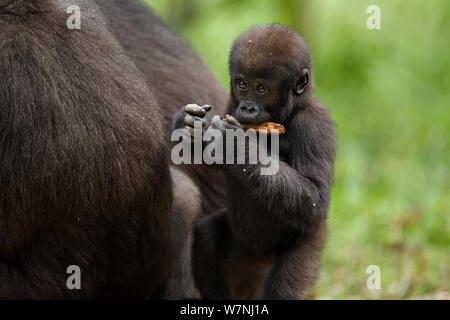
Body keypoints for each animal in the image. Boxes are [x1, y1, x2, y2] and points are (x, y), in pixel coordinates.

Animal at [174, 25, 336, 300]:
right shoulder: (230, 106)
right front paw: (186, 123)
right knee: (205, 237)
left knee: (282, 288)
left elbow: (314, 195)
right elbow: (213, 161)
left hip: (303, 245)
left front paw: (237, 144)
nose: (248, 108)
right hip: (241, 248)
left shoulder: (314, 123)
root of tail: (260, 258)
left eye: (262, 88)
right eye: (242, 84)